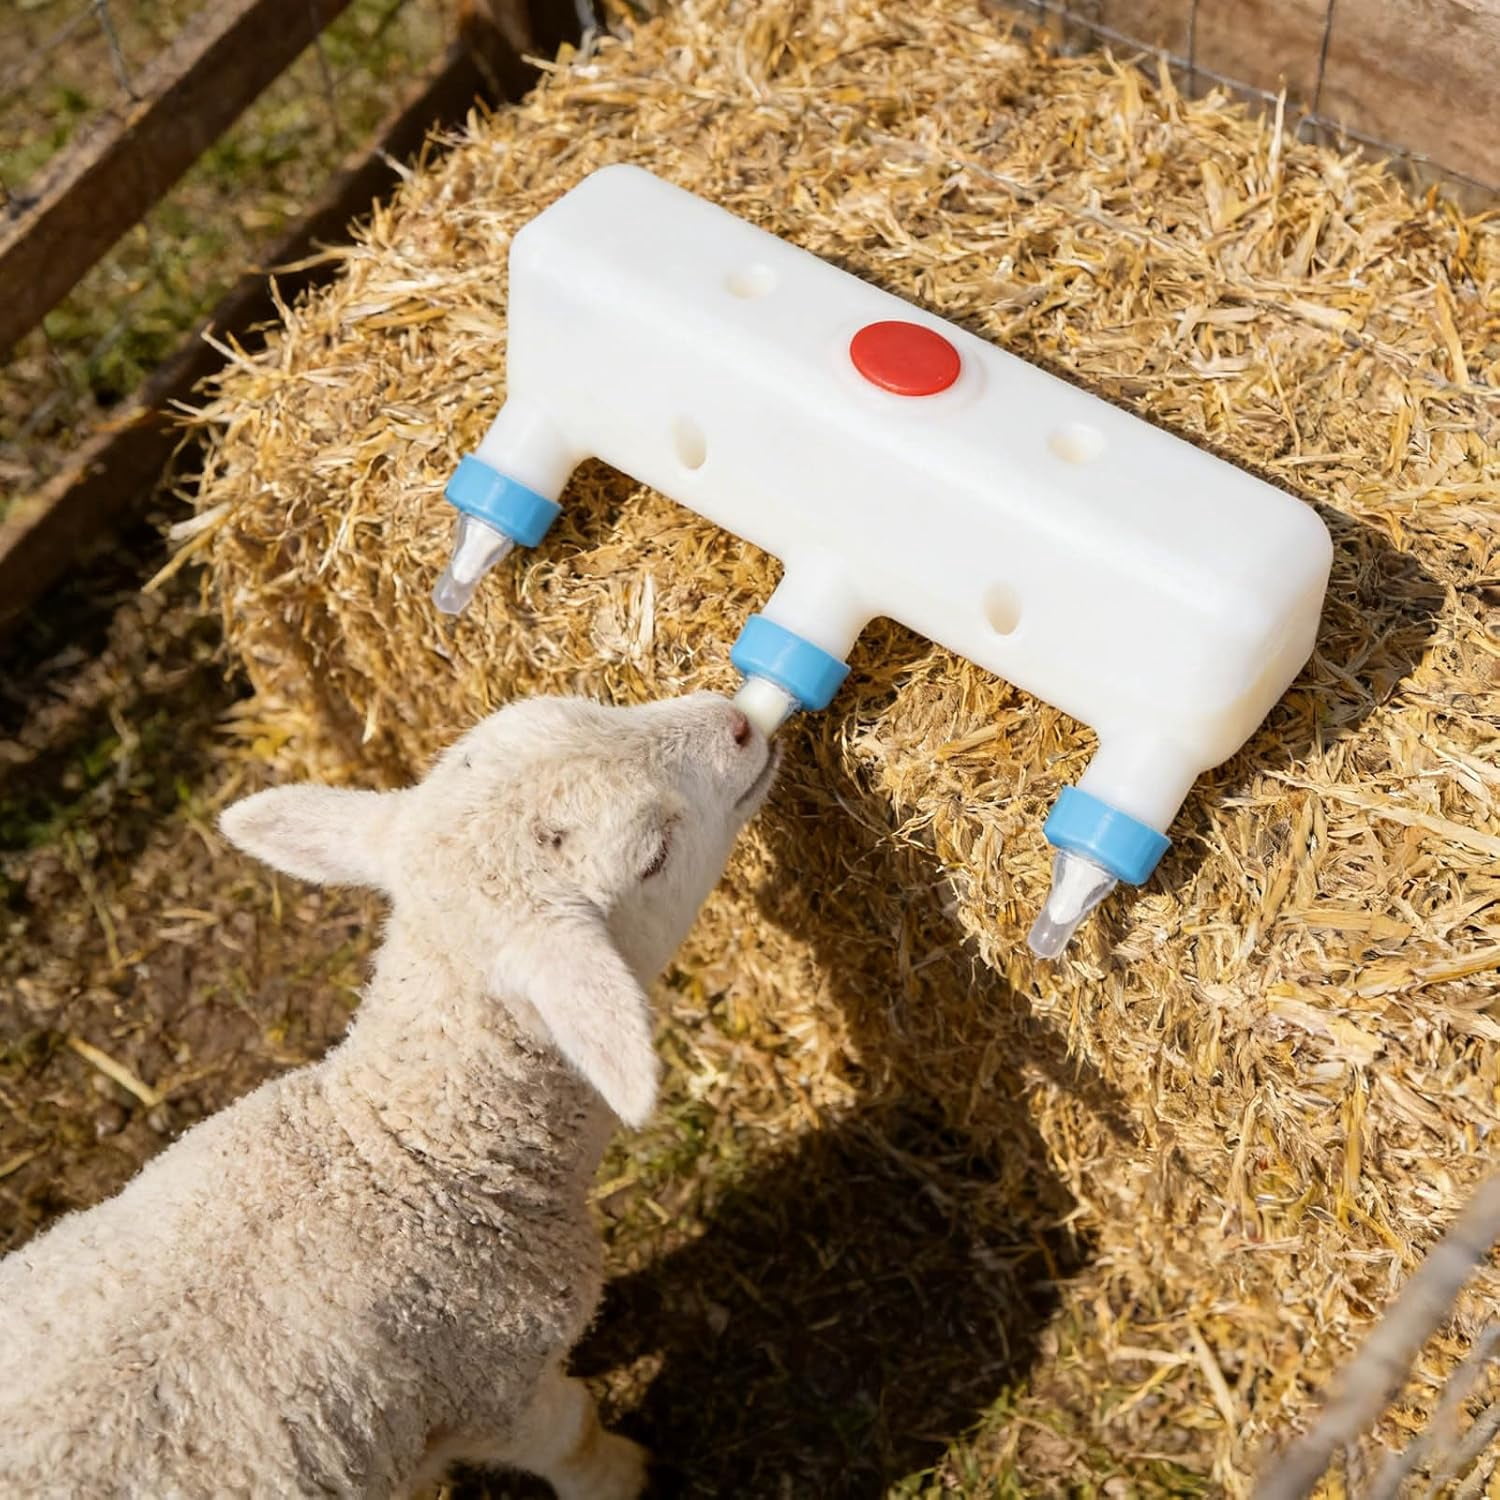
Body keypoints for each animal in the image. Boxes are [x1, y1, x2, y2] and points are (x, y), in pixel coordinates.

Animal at [0, 691, 779, 1499]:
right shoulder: (494, 1385)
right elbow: (577, 1438)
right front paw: (630, 1476)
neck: (404, 1155)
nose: (736, 720)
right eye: (654, 854)